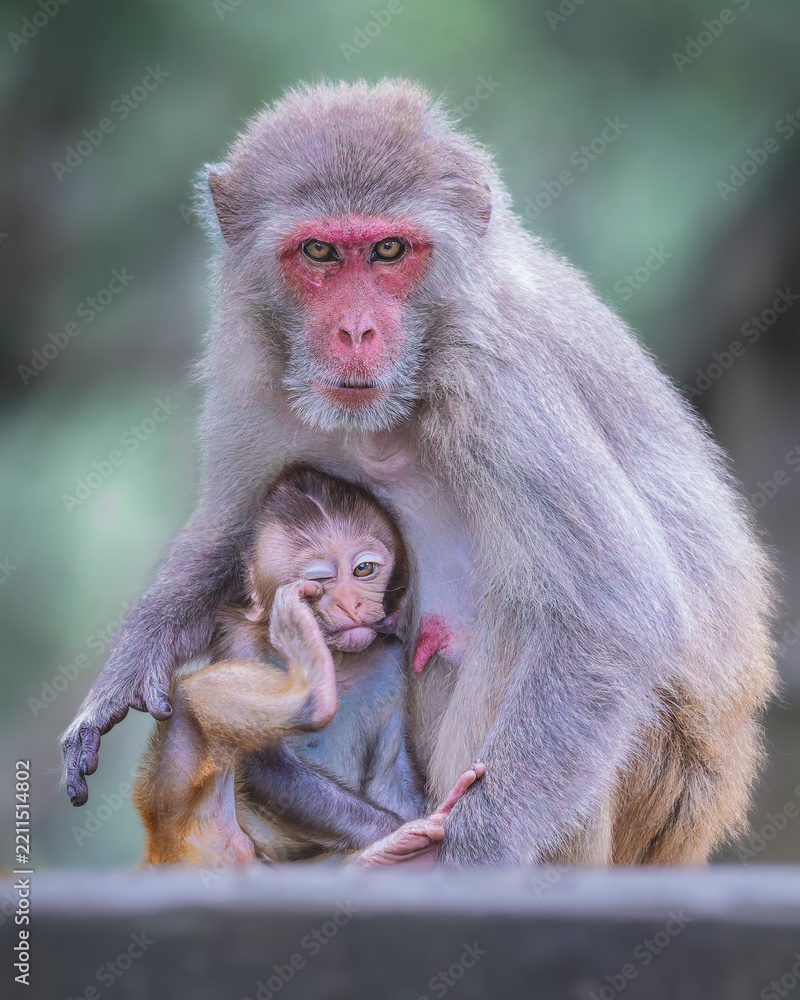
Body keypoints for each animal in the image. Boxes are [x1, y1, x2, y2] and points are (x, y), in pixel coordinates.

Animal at [134, 464, 484, 867]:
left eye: (363, 569)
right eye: (319, 581)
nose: (350, 603)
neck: (338, 661)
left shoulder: (390, 659)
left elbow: (389, 771)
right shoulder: (242, 645)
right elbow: (269, 766)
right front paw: (405, 834)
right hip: (190, 843)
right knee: (190, 709)